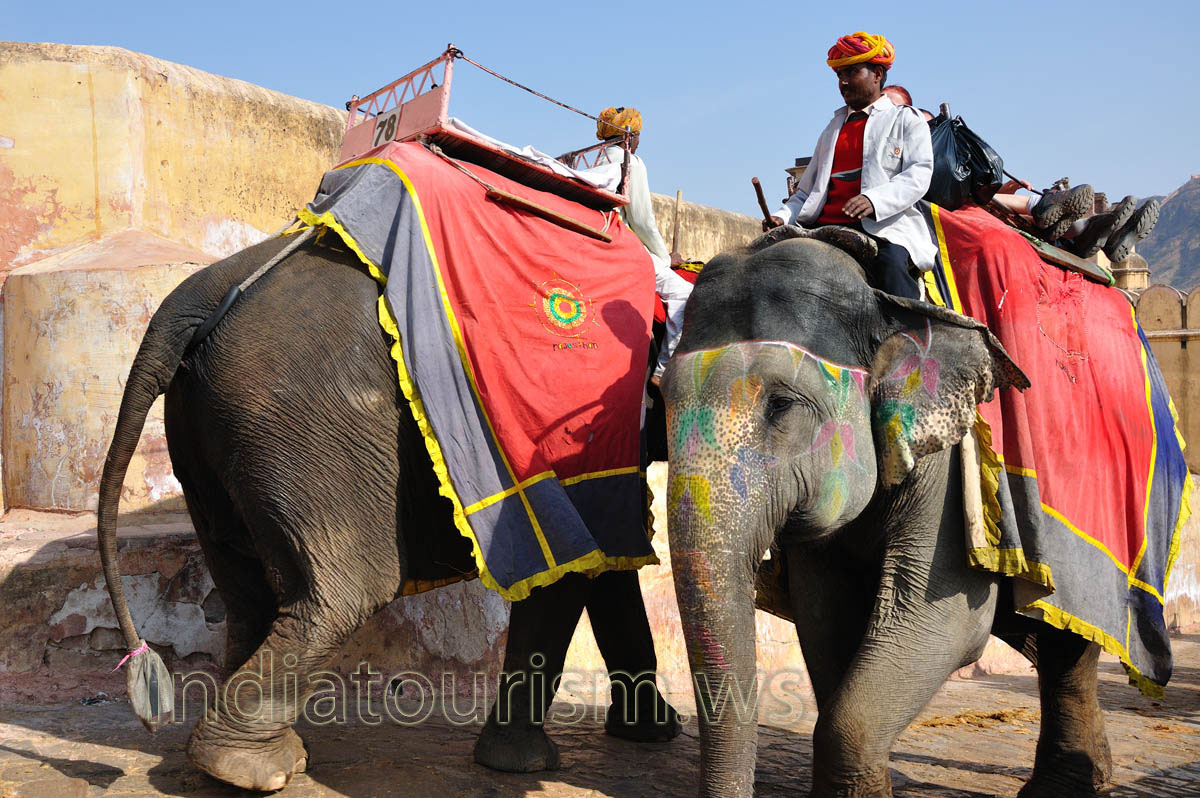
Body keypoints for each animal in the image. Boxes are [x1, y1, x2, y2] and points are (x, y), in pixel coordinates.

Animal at [97, 234, 680, 792]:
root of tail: (197, 295)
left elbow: (610, 571)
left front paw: (654, 732)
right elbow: (572, 570)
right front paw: (527, 764)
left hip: (206, 438)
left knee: (246, 594)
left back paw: (255, 759)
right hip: (305, 421)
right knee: (346, 592)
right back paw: (252, 771)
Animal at [662, 228, 1114, 797]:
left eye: (782, 405)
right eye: (661, 399)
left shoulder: (949, 467)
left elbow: (948, 621)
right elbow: (824, 612)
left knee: (1068, 642)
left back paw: (1063, 787)